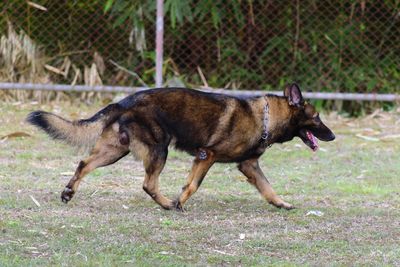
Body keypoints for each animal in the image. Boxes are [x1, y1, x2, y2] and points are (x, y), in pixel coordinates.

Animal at [26, 84, 336, 211]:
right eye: (317, 117)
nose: (332, 136)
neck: (264, 118)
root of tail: (124, 101)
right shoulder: (206, 155)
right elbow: (193, 185)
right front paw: (179, 203)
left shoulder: (248, 165)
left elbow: (268, 188)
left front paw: (281, 203)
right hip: (159, 148)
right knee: (148, 184)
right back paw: (166, 204)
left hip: (115, 151)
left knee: (83, 164)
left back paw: (68, 192)